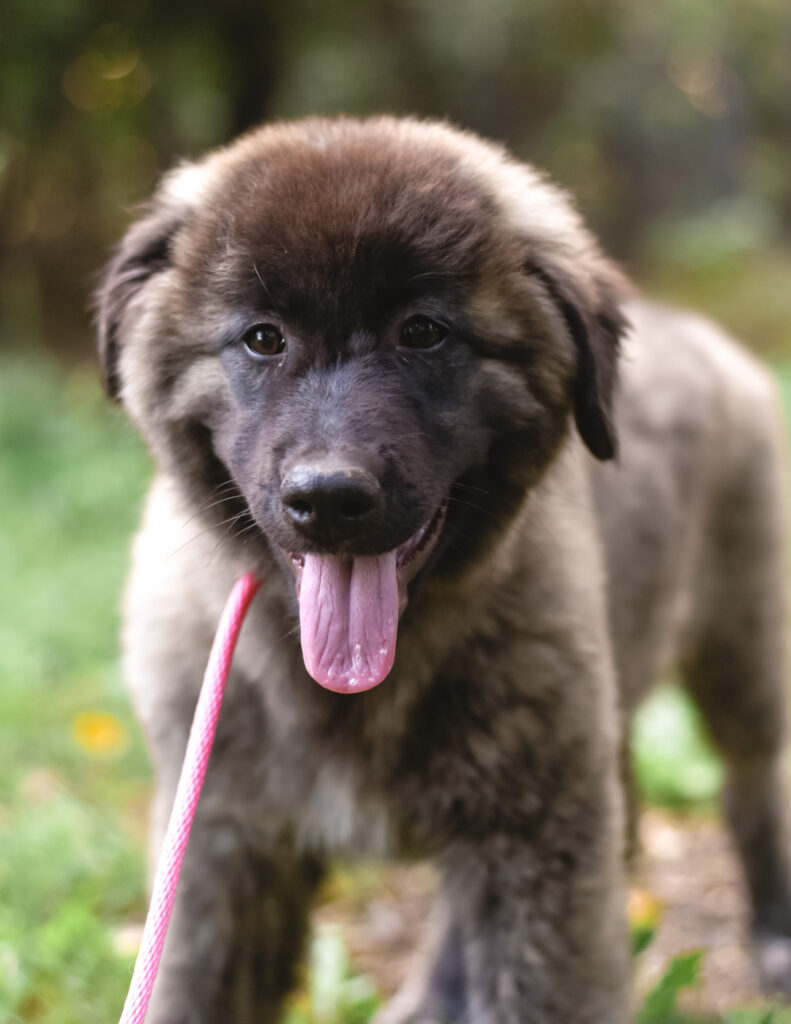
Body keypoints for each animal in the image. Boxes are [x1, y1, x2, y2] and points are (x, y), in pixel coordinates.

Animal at [94, 116, 790, 1019]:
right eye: (262, 338)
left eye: (423, 332)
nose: (329, 497)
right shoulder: (222, 839)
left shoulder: (537, 847)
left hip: (742, 652)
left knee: (753, 782)